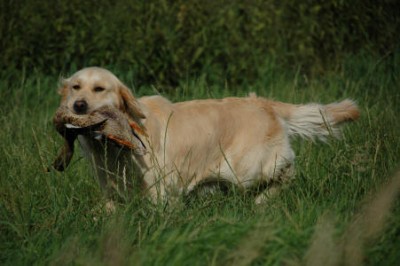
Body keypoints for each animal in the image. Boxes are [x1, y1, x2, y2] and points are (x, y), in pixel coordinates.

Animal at [57, 66, 360, 204]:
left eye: (99, 89)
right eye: (75, 87)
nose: (78, 106)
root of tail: (262, 102)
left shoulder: (161, 189)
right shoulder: (111, 190)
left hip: (247, 169)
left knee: (288, 172)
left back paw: (264, 200)